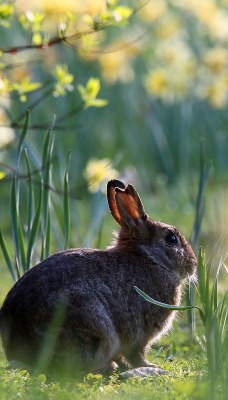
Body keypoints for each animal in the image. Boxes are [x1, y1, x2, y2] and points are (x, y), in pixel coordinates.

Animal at [0, 180, 196, 376]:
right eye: (171, 239)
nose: (193, 264)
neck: (149, 257)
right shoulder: (141, 333)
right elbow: (137, 354)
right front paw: (151, 366)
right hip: (94, 327)